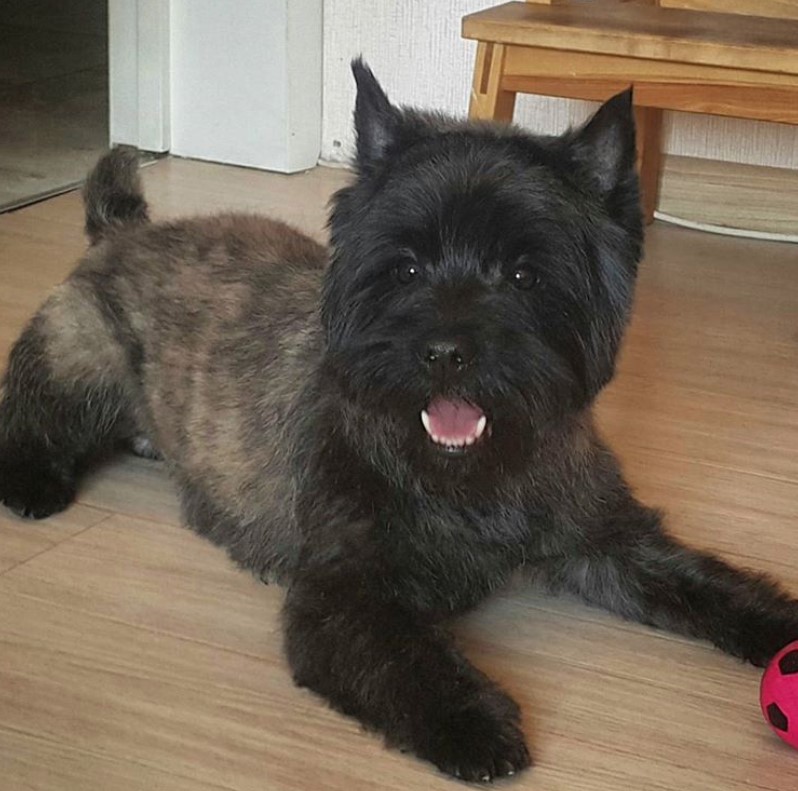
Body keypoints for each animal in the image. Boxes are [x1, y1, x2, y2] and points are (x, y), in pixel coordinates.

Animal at [1, 60, 798, 780]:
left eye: (524, 274)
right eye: (406, 267)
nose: (444, 352)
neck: (470, 474)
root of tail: (124, 232)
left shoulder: (607, 539)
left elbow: (706, 581)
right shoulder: (343, 595)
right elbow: (404, 658)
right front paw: (470, 720)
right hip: (80, 364)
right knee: (28, 415)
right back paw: (33, 480)